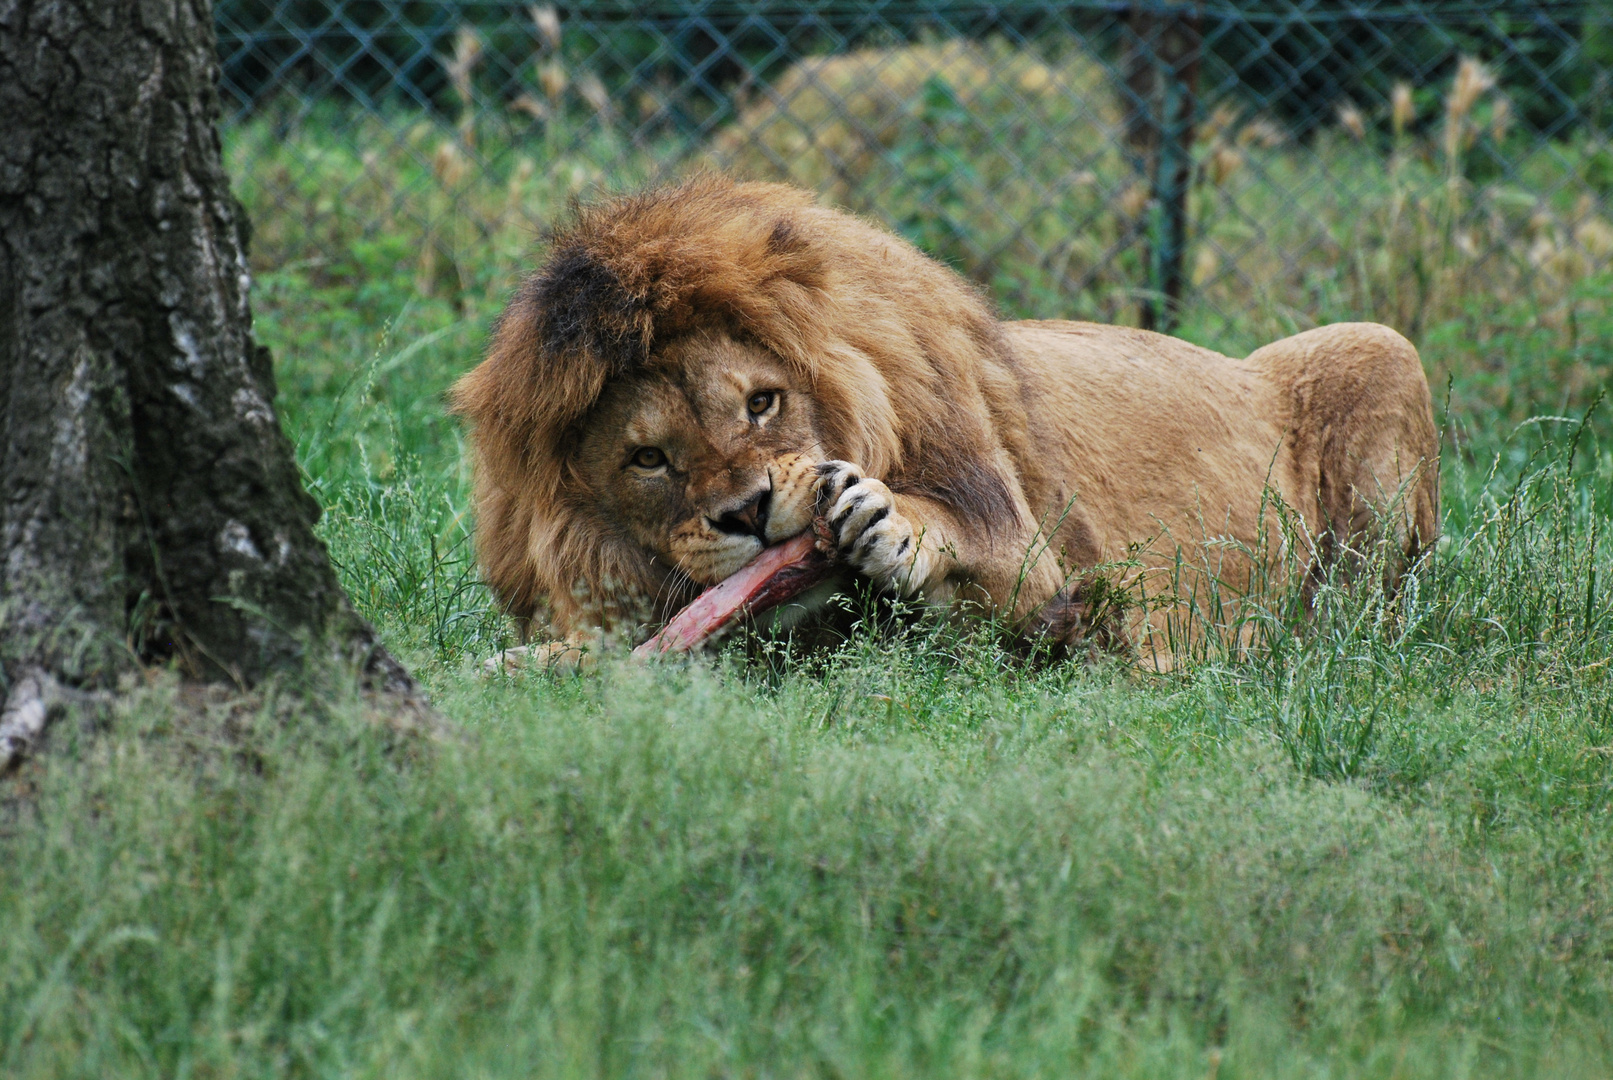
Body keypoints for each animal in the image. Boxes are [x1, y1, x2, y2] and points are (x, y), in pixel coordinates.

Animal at [451, 176, 1438, 667]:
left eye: (762, 402)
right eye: (650, 460)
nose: (748, 515)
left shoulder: (1036, 567)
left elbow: (994, 560)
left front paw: (884, 521)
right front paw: (524, 670)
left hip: (1376, 347)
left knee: (1369, 617)